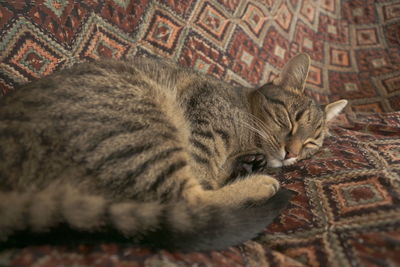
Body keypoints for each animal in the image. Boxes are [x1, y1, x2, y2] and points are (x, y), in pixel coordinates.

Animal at [0, 54, 346, 251]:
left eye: (312, 142)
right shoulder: (205, 130)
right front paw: (249, 171)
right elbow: (206, 174)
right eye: (290, 119)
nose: (292, 153)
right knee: (192, 201)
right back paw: (260, 184)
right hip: (142, 124)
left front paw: (247, 165)